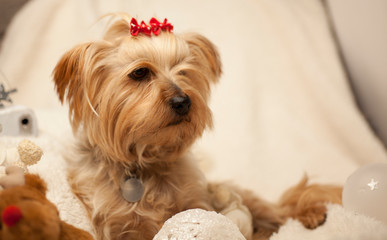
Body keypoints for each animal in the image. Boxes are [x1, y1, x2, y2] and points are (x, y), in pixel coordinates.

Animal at [52, 13, 342, 240]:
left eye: (184, 71)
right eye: (140, 73)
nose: (183, 101)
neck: (146, 162)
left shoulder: (196, 202)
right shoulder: (115, 224)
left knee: (281, 210)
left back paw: (311, 214)